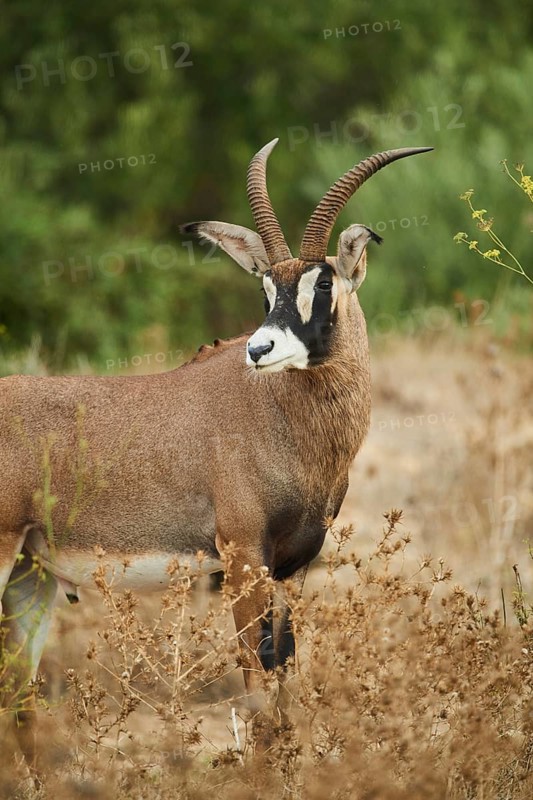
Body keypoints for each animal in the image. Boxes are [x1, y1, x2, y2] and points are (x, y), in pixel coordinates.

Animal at [0, 140, 431, 772]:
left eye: (323, 284)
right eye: (266, 289)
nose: (259, 348)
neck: (279, 413)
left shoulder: (291, 568)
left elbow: (284, 674)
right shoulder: (243, 556)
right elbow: (256, 683)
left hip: (30, 574)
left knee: (17, 696)